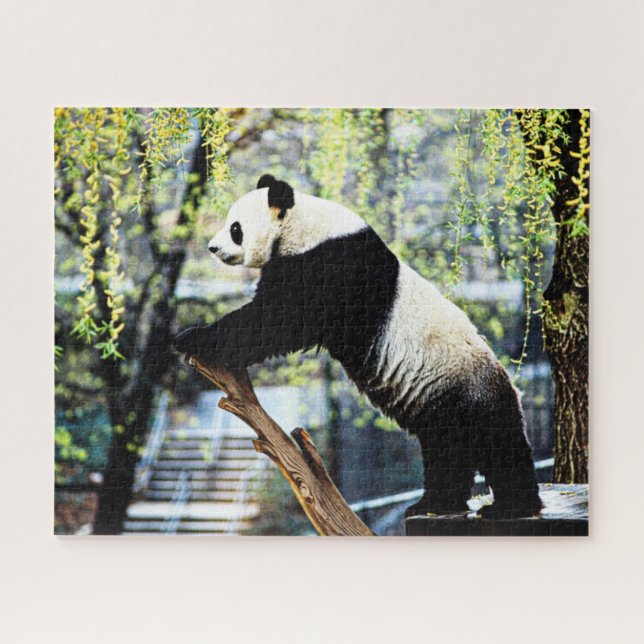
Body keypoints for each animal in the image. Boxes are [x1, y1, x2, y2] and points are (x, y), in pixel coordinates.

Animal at [175, 174, 543, 519]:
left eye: (235, 228)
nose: (212, 248)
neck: (304, 226)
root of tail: (507, 384)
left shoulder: (331, 267)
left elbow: (279, 320)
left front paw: (192, 337)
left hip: (465, 389)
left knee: (495, 443)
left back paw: (511, 506)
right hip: (440, 401)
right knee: (445, 451)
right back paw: (434, 504)